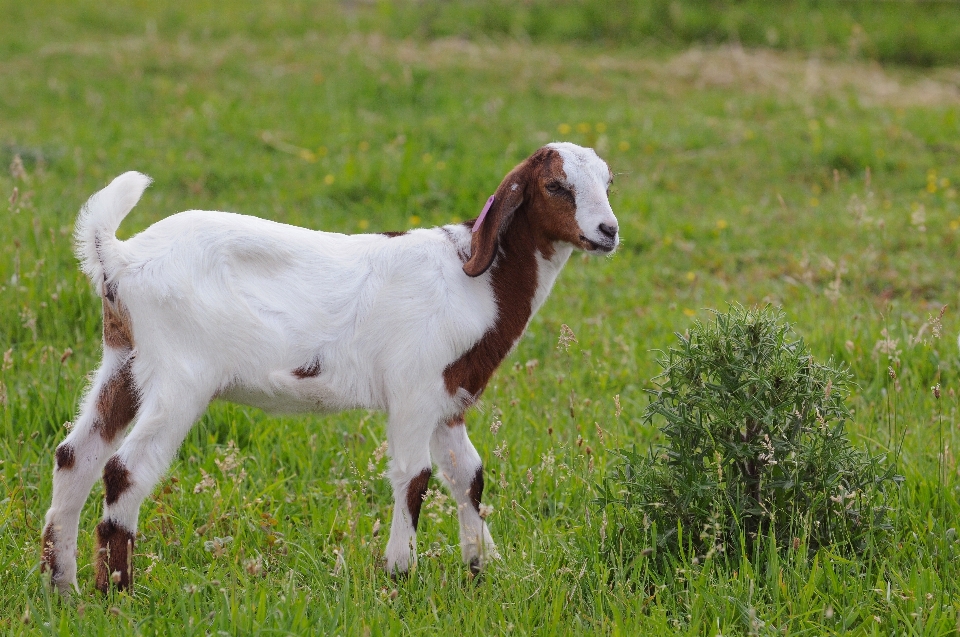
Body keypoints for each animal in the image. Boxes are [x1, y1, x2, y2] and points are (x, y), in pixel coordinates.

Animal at [41, 142, 620, 592]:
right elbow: (414, 477)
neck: (474, 279)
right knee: (125, 469)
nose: (608, 230)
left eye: (609, 181)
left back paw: (63, 587)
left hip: (123, 359)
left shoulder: (448, 398)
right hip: (181, 374)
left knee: (75, 455)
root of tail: (118, 258)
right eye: (556, 186)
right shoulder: (413, 390)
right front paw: (398, 575)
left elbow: (468, 476)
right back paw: (118, 591)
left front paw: (483, 567)